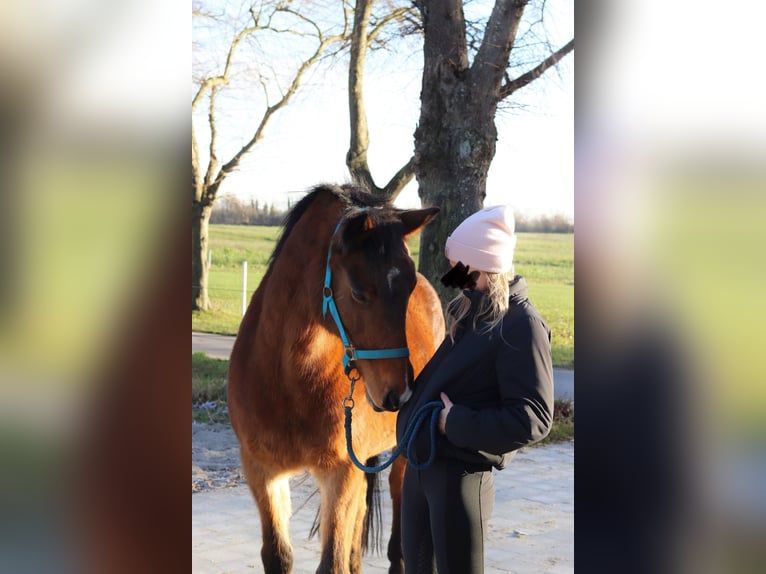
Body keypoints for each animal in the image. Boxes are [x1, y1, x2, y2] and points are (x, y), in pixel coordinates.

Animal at [227, 183, 445, 574]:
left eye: (408, 289)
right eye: (359, 292)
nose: (399, 393)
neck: (288, 383)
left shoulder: (339, 474)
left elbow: (332, 562)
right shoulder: (262, 470)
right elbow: (278, 555)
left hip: (401, 454)